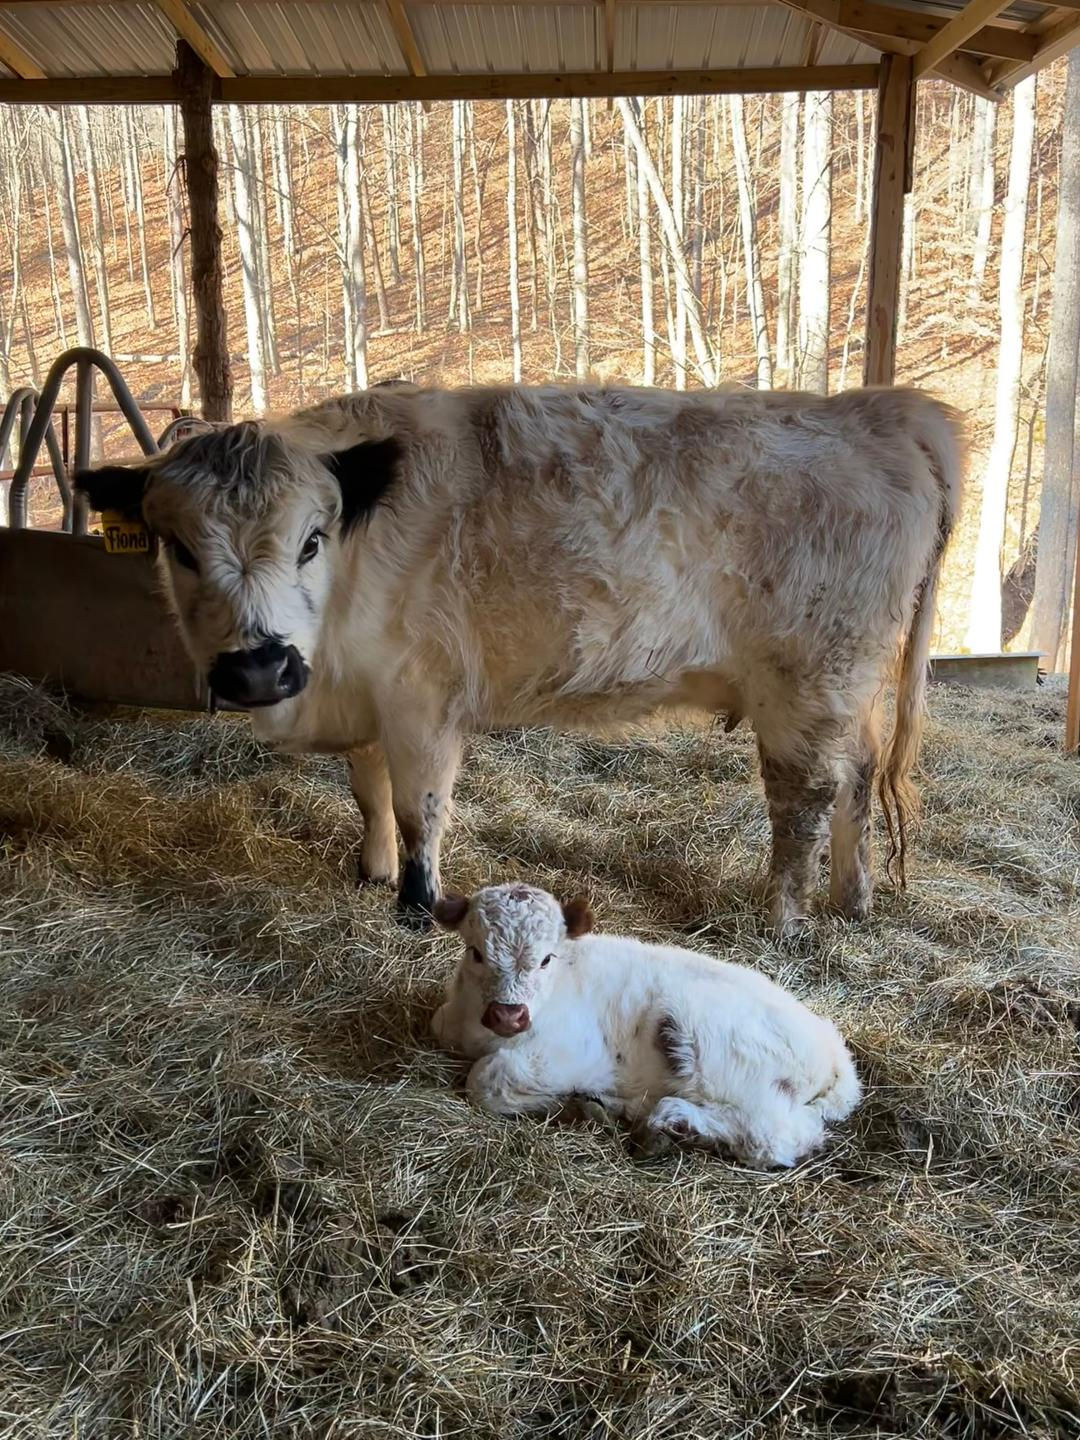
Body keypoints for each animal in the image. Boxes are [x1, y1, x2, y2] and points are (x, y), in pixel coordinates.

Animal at [75, 382, 964, 934]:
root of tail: (880, 408)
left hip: (808, 684)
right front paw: (370, 871)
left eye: (311, 540)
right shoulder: (365, 697)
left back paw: (780, 918)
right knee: (857, 780)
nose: (259, 668)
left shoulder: (422, 698)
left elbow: (419, 807)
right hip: (848, 689)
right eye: (179, 548)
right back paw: (852, 901)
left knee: (803, 801)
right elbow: (369, 794)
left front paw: (416, 906)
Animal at [430, 882, 861, 1166]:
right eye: (476, 952)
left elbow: (486, 1081)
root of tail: (835, 1054)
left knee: (776, 1135)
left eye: (546, 959)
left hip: (722, 1058)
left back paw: (674, 1122)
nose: (508, 1014)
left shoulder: (568, 1055)